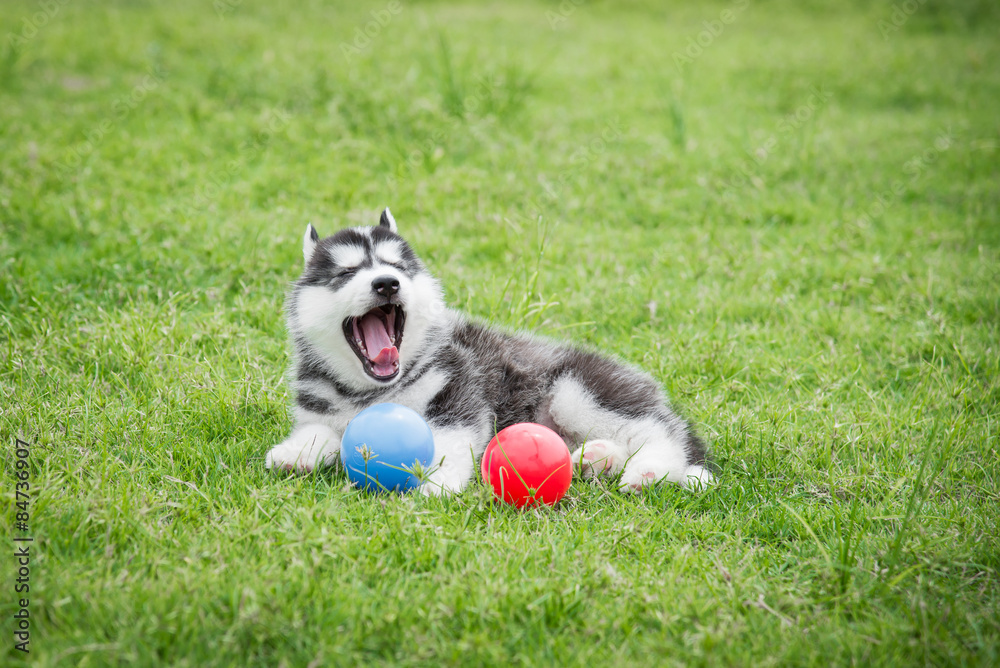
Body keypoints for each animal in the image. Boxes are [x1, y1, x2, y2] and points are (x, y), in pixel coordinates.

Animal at [266, 210, 712, 496]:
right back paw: (597, 458)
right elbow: (318, 431)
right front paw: (294, 453)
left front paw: (437, 483)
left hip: (579, 391)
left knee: (661, 434)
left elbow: (447, 442)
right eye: (345, 273)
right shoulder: (320, 411)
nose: (387, 284)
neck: (371, 392)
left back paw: (647, 470)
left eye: (398, 267)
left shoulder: (459, 396)